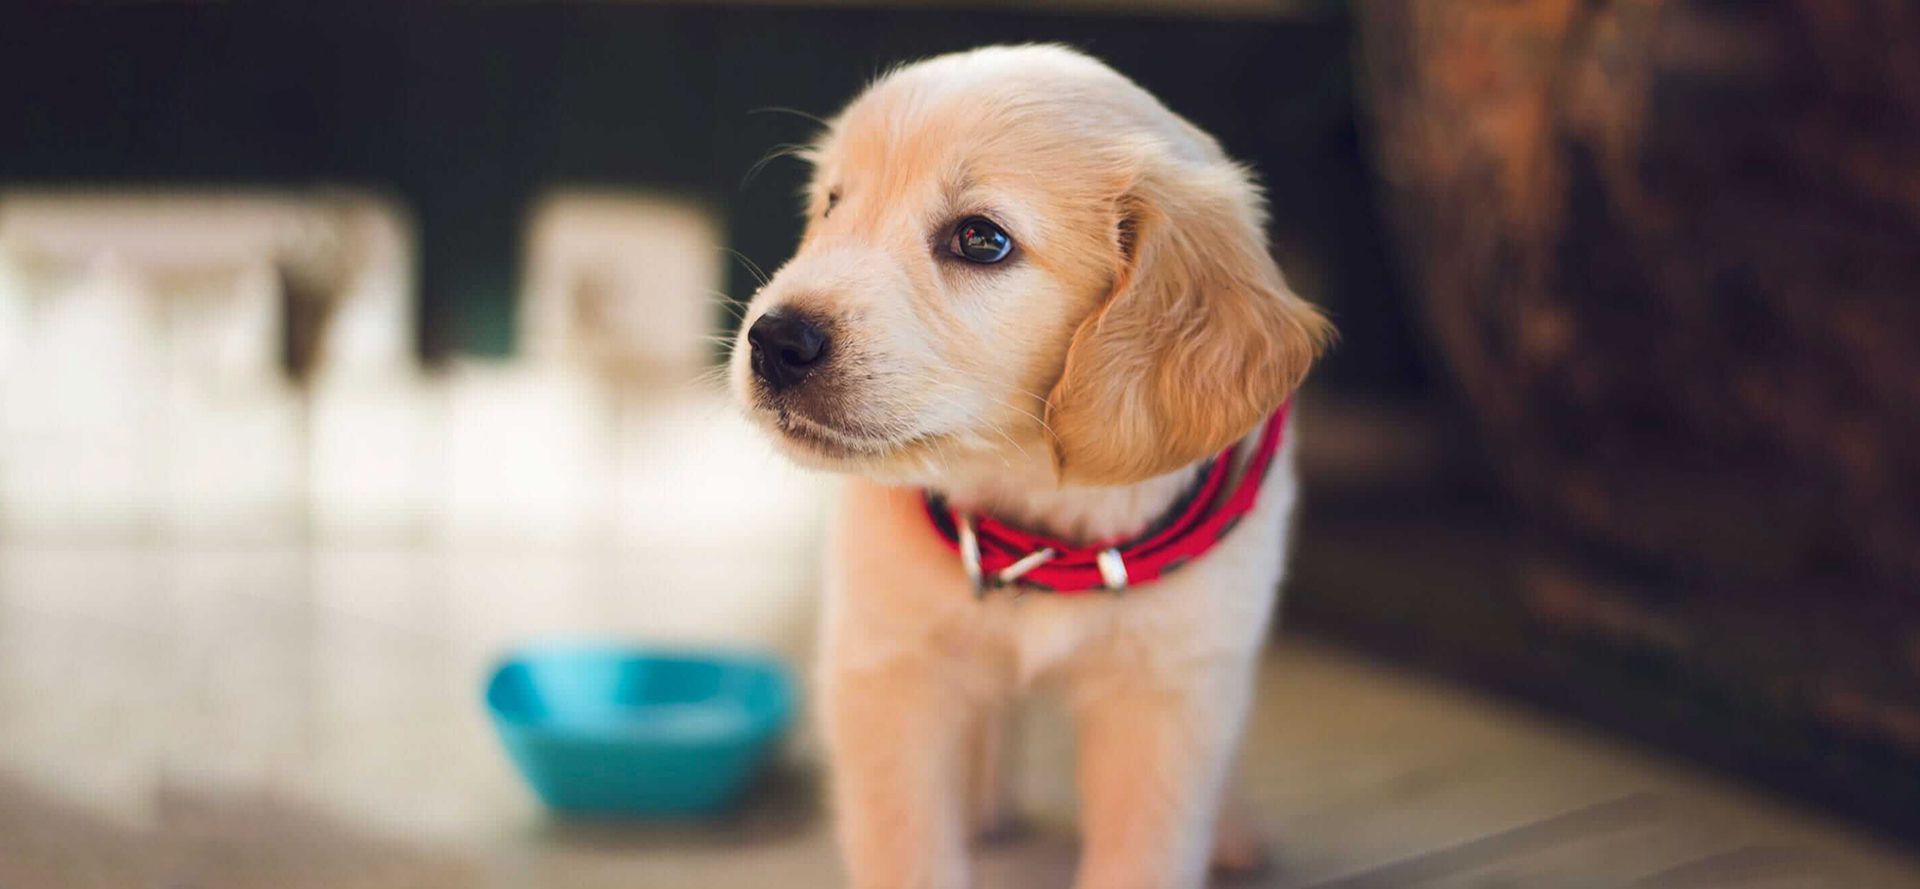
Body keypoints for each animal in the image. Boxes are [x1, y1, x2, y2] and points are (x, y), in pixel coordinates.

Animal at [725, 47, 1328, 889]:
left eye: (982, 240)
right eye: (833, 204)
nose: (774, 340)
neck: (1037, 511)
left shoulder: (1169, 692)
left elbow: (1146, 849)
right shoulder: (889, 670)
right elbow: (906, 845)